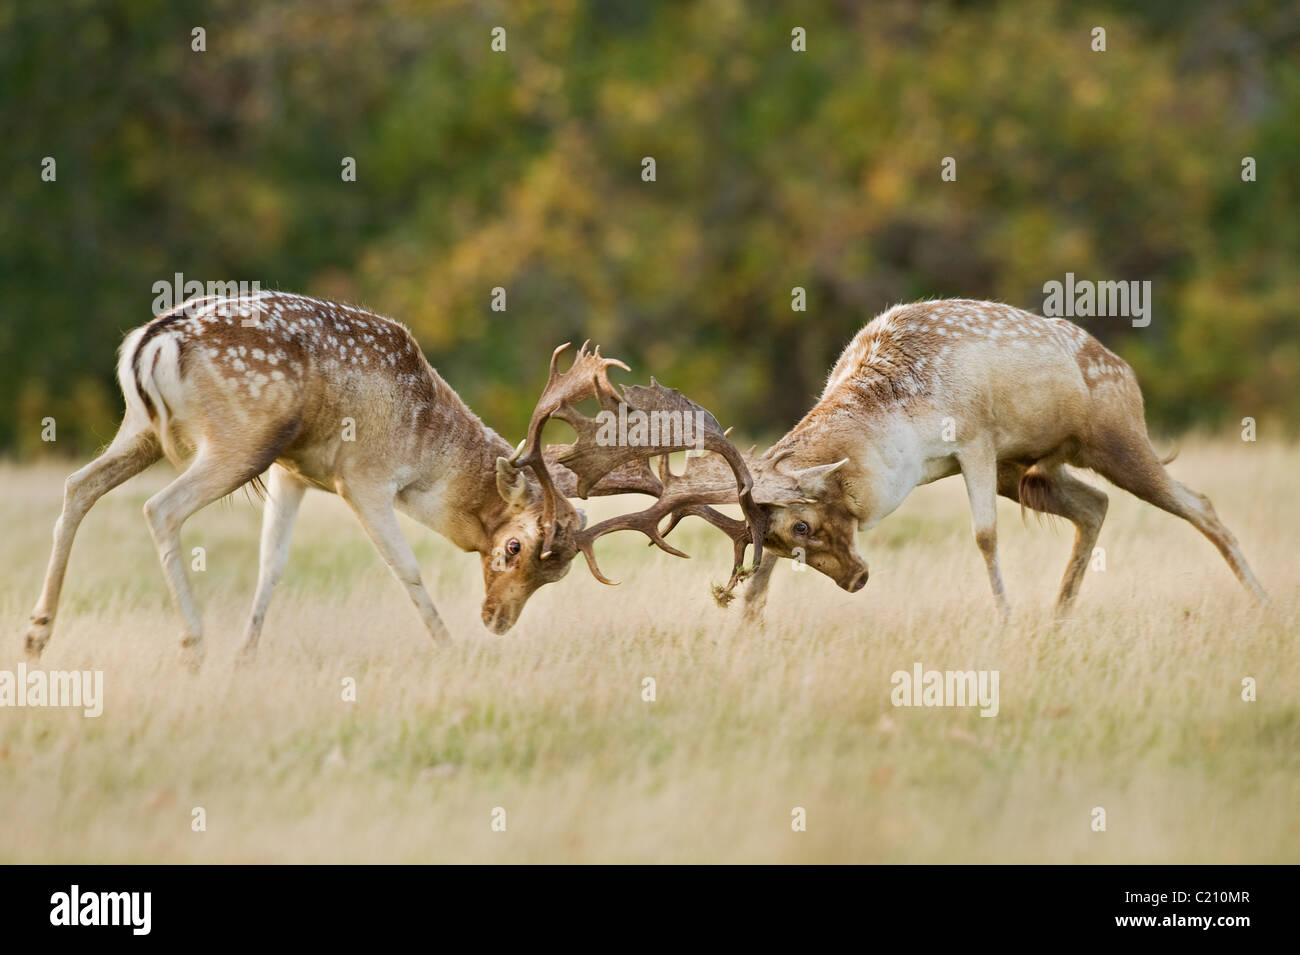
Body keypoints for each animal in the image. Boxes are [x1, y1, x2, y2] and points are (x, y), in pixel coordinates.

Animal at [22, 291, 759, 665]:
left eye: (559, 573)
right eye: (513, 546)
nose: (496, 620)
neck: (425, 443)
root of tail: (151, 340)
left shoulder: (294, 471)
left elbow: (271, 562)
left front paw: (248, 653)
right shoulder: (363, 477)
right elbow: (406, 567)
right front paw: (447, 645)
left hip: (144, 429)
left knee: (78, 486)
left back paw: (37, 633)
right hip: (238, 438)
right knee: (159, 509)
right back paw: (192, 641)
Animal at [676, 302, 1263, 623]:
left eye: (803, 524)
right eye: (777, 540)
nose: (857, 579)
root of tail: (1125, 370)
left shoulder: (977, 439)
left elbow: (985, 535)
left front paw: (1005, 619)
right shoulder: (978, 460)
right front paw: (749, 620)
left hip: (1117, 439)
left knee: (1199, 503)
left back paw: (1265, 600)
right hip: (1029, 469)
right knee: (1095, 504)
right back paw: (1059, 616)